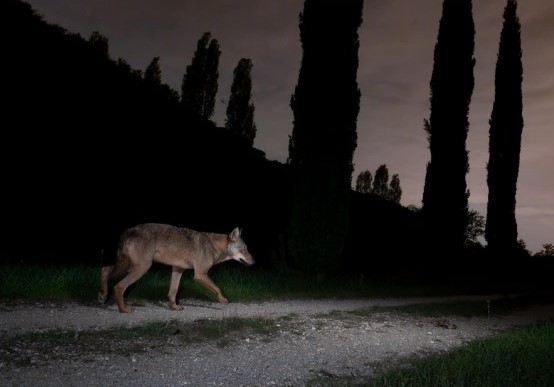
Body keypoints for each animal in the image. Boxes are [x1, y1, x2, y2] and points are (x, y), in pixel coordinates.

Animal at [97, 223, 254, 314]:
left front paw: (174, 307)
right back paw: (123, 309)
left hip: (128, 266)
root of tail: (130, 230)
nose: (254, 262)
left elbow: (173, 292)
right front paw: (222, 300)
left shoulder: (178, 270)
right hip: (140, 268)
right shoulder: (200, 275)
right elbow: (217, 288)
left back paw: (102, 295)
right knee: (118, 286)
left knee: (105, 269)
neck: (212, 246)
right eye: (244, 249)